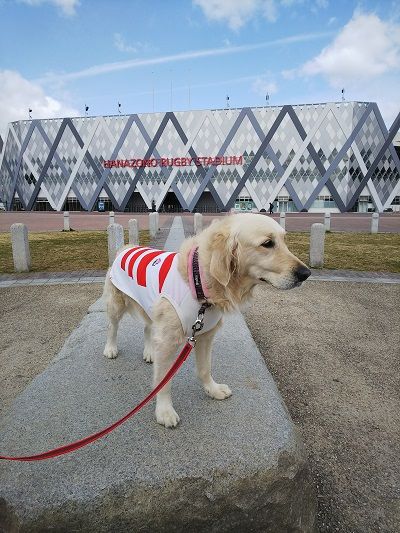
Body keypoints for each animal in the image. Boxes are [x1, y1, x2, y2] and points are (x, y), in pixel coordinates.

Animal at [102, 214, 310, 426]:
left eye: (284, 241)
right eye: (268, 243)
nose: (306, 274)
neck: (199, 282)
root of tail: (126, 247)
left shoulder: (204, 335)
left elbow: (205, 369)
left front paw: (213, 390)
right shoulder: (168, 341)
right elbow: (164, 381)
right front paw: (164, 411)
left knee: (148, 328)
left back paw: (150, 352)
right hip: (116, 304)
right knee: (112, 327)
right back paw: (110, 349)